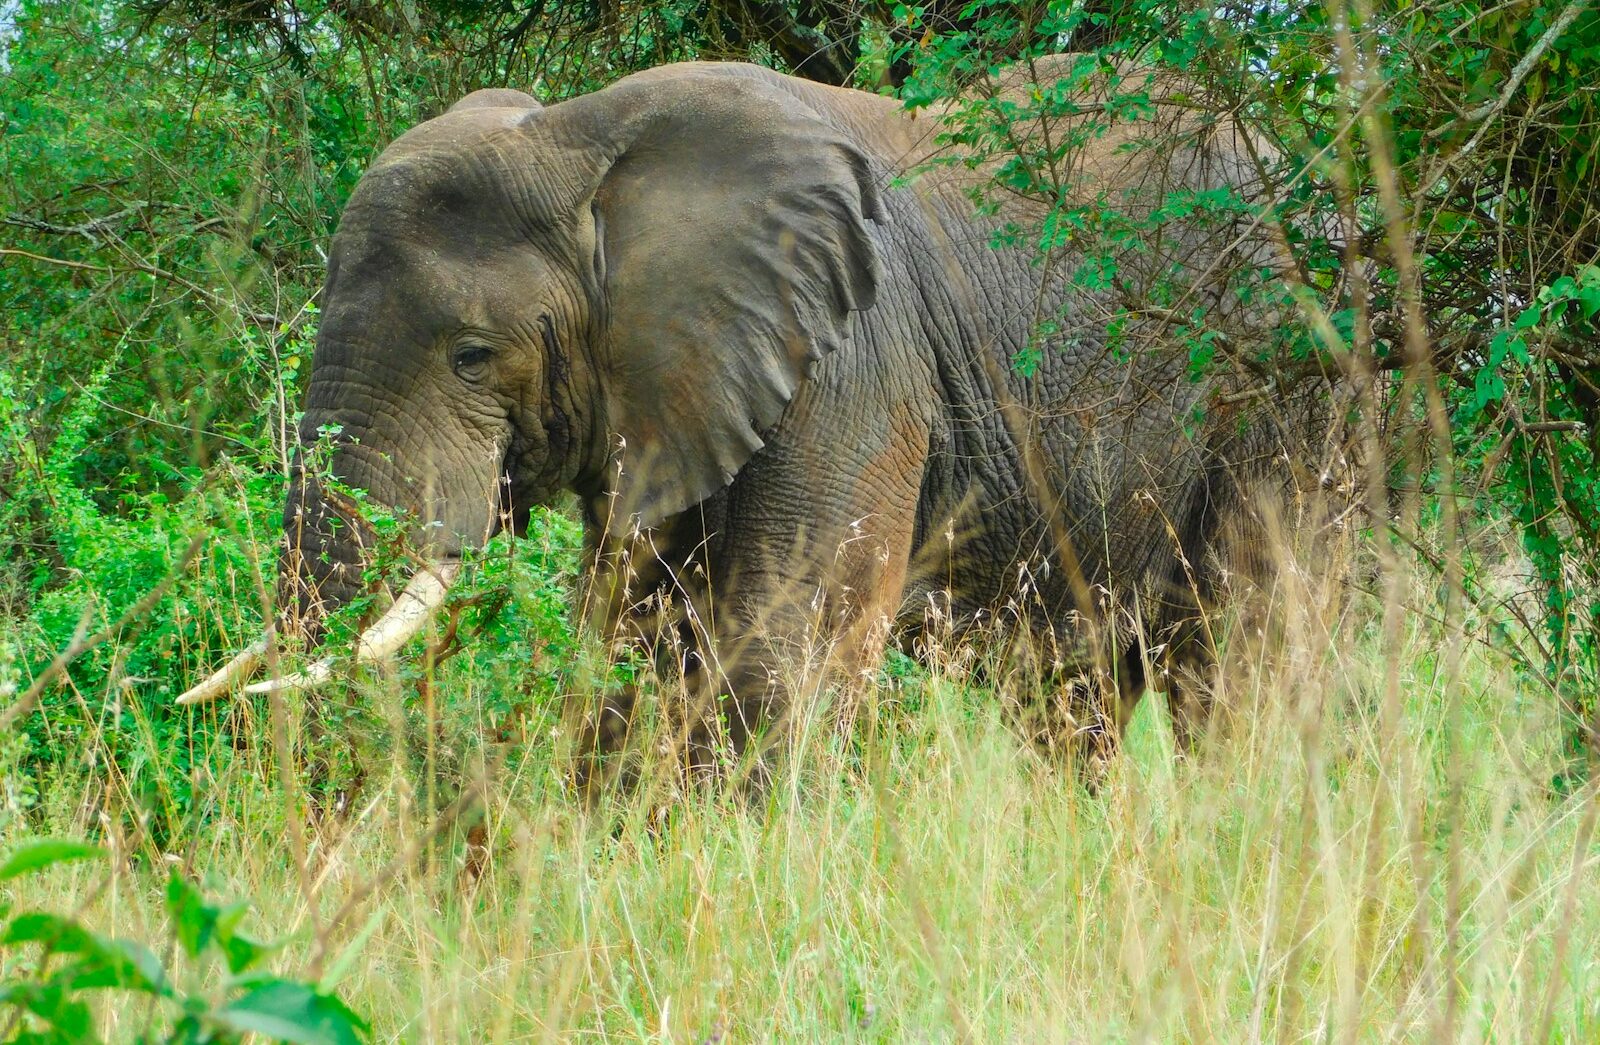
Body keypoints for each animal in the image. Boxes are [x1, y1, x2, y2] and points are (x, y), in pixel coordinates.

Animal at [181, 55, 1337, 790]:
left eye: (471, 355)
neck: (581, 141)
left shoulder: (854, 360)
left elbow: (784, 651)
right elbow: (631, 649)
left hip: (1282, 378)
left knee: (1242, 644)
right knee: (1073, 689)